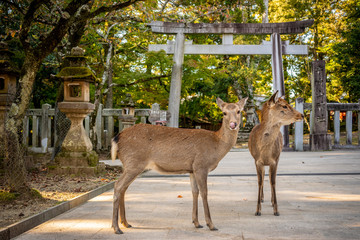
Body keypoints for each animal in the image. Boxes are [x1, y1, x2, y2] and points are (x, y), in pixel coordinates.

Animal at [111, 96, 248, 233]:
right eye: (224, 113)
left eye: (239, 111)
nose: (233, 124)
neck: (217, 145)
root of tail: (117, 137)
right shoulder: (201, 165)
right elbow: (204, 192)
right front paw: (211, 224)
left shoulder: (192, 169)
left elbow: (194, 192)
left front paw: (196, 222)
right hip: (134, 163)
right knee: (118, 185)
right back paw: (116, 227)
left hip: (129, 165)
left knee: (123, 188)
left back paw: (125, 223)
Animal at [250, 90, 304, 218]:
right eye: (284, 106)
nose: (302, 115)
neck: (265, 152)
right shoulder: (257, 161)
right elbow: (260, 181)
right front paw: (257, 210)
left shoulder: (275, 160)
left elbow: (273, 181)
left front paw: (276, 210)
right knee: (263, 176)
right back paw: (263, 198)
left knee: (269, 177)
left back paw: (270, 200)